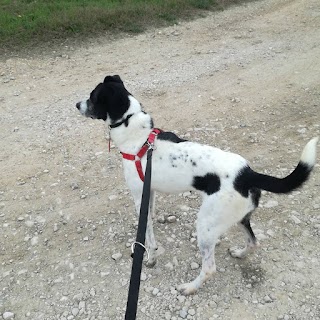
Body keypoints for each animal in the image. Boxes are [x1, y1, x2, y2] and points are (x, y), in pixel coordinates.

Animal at [75, 74, 318, 296]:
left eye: (92, 97)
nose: (77, 104)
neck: (138, 135)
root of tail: (247, 174)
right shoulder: (149, 192)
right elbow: (151, 220)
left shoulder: (138, 196)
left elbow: (147, 235)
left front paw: (150, 257)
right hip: (239, 217)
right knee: (253, 241)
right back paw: (239, 253)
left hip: (205, 224)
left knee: (210, 268)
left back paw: (189, 287)